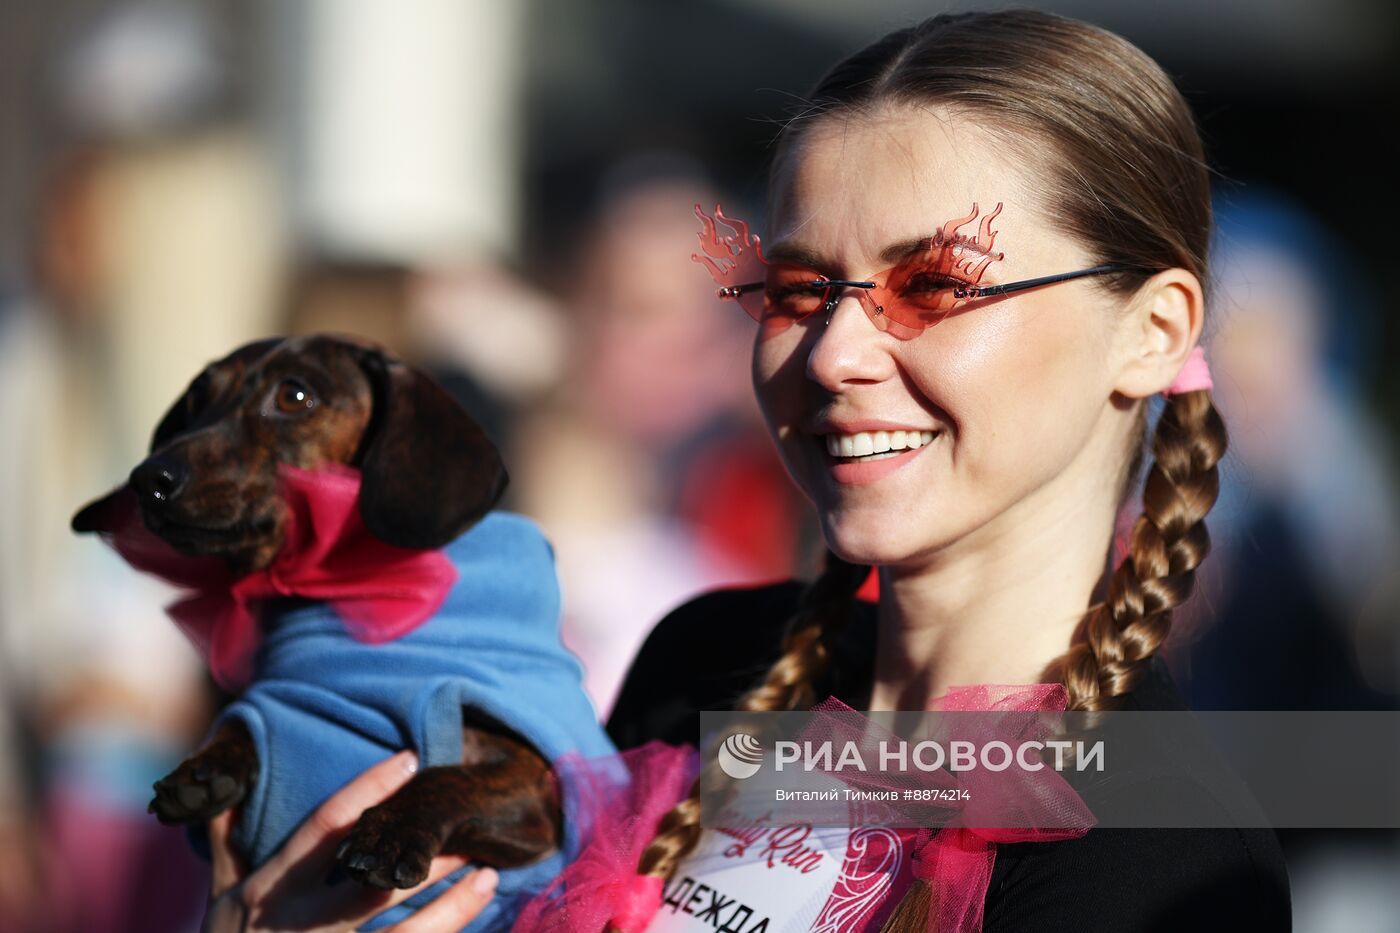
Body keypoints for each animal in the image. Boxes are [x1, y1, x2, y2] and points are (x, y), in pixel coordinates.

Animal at [72, 334, 602, 896]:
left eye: (294, 395)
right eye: (197, 397)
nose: (148, 478)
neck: (347, 587)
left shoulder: (540, 792)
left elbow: (446, 778)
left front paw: (389, 832)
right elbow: (244, 723)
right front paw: (206, 767)